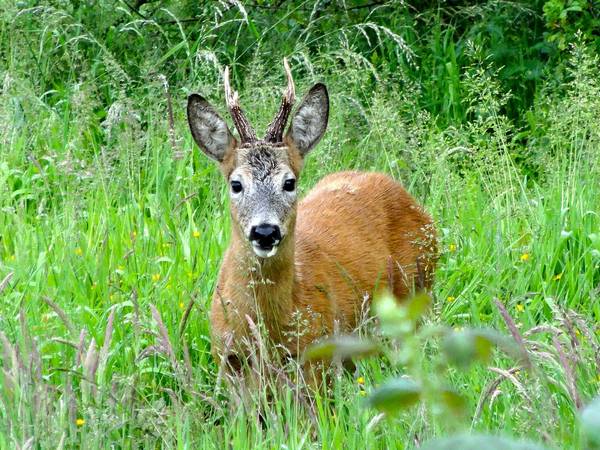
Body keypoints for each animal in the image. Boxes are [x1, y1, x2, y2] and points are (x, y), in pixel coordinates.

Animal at [188, 59, 436, 384]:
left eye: (289, 182)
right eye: (236, 184)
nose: (265, 231)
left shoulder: (319, 358)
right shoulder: (227, 360)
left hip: (417, 298)